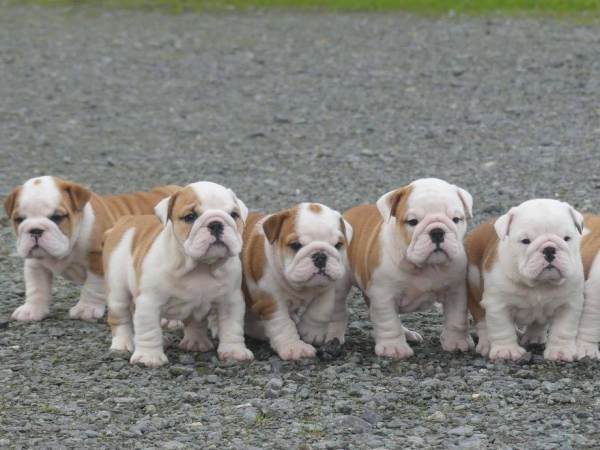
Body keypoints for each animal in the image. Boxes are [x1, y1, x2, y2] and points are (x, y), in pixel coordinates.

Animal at [4, 174, 178, 322]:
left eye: (57, 217)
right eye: (19, 219)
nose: (35, 230)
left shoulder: (97, 258)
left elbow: (92, 287)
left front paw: (86, 309)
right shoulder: (35, 265)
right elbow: (36, 288)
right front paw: (32, 310)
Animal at [103, 181, 253, 368]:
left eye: (234, 215)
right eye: (190, 217)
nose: (216, 224)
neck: (200, 267)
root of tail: (126, 221)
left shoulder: (230, 301)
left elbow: (232, 327)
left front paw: (234, 351)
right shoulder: (149, 302)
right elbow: (148, 330)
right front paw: (148, 357)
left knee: (194, 322)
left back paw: (196, 342)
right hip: (118, 290)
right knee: (120, 318)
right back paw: (123, 344)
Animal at [240, 204, 352, 362]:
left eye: (338, 245)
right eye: (296, 245)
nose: (320, 256)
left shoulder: (328, 287)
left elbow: (322, 309)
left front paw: (311, 332)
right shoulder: (271, 301)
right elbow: (282, 324)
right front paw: (294, 347)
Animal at [332, 178, 474, 358]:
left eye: (456, 219)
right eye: (412, 222)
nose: (437, 232)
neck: (426, 266)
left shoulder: (456, 291)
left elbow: (456, 318)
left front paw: (456, 342)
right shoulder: (383, 295)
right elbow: (388, 322)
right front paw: (393, 348)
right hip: (340, 284)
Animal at [464, 199, 584, 360]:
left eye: (567, 238)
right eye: (525, 241)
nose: (549, 249)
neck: (540, 284)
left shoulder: (569, 304)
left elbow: (563, 330)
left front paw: (560, 351)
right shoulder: (498, 304)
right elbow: (502, 328)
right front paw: (506, 351)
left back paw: (535, 337)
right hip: (474, 286)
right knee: (482, 320)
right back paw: (486, 344)